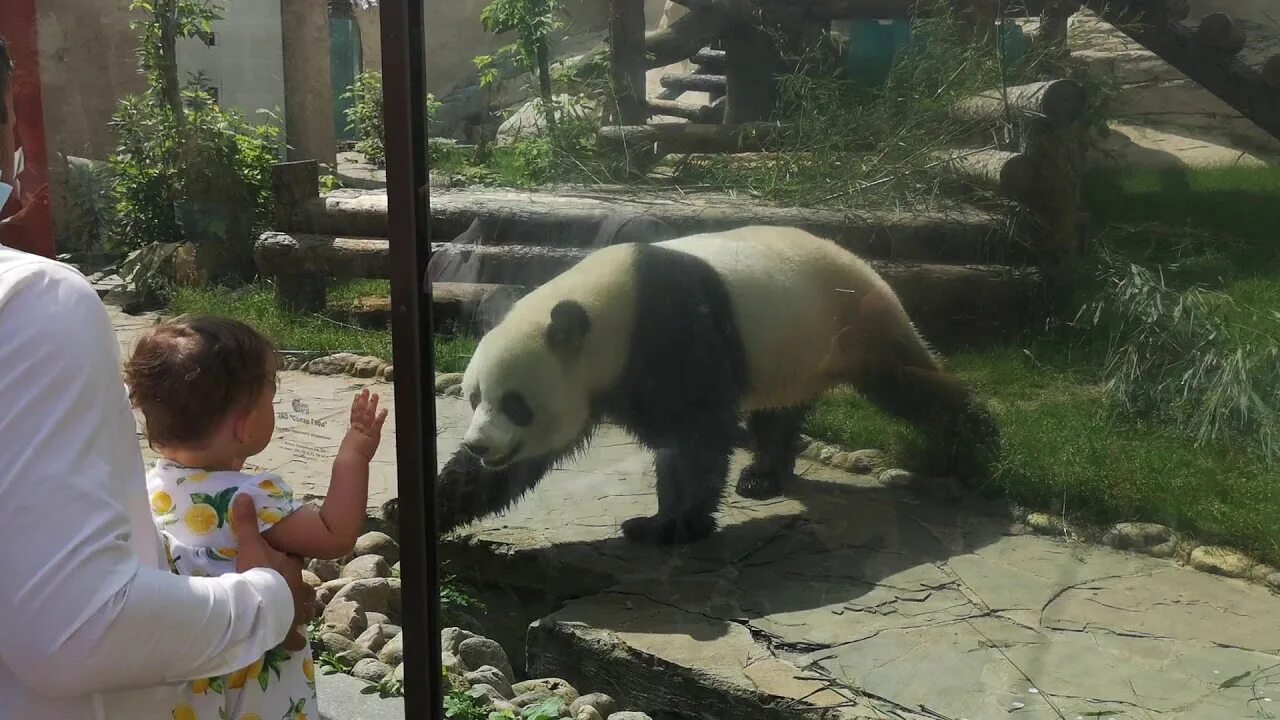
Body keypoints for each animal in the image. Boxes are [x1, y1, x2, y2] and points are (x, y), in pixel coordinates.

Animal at [440, 224, 998, 543]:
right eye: (474, 398)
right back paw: (764, 476)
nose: (479, 443)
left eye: (516, 403)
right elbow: (513, 471)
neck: (603, 313)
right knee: (778, 412)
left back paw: (978, 445)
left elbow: (696, 435)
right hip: (789, 348)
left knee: (906, 382)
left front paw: (674, 525)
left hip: (851, 318)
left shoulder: (669, 330)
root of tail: (862, 259)